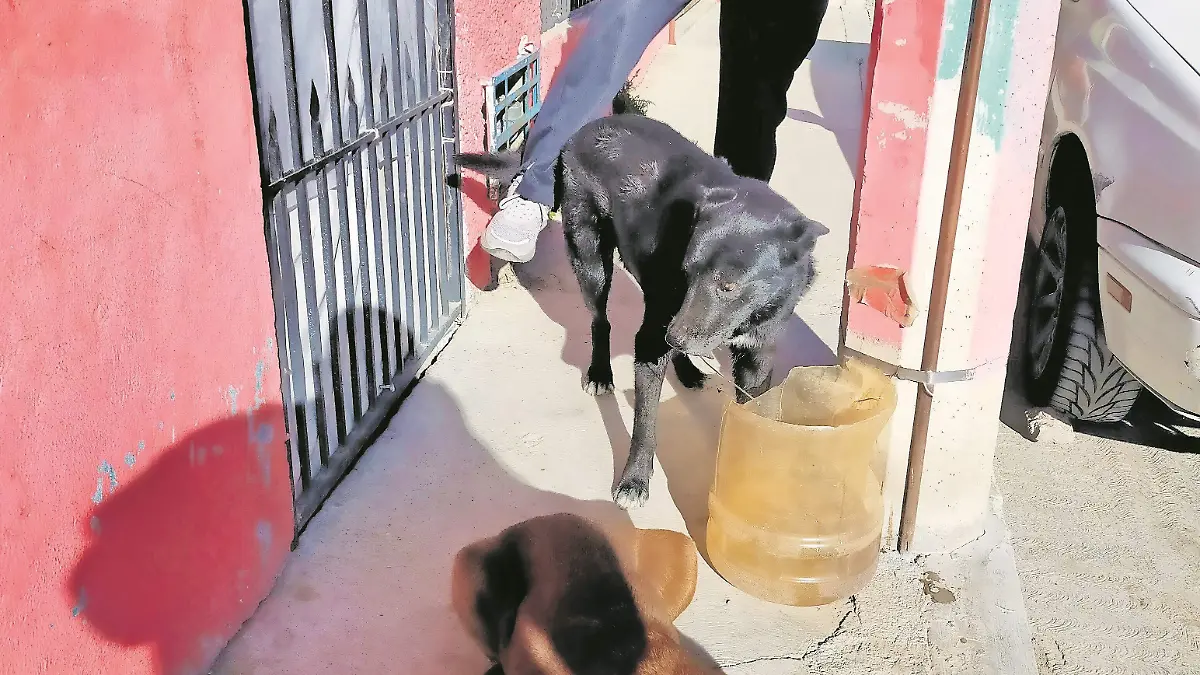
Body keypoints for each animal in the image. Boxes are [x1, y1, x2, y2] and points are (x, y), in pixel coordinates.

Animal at [456, 114, 828, 509]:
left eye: (728, 286)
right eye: (687, 272)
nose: (675, 337)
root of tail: (586, 129)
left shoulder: (756, 359)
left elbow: (753, 416)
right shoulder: (650, 343)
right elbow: (645, 421)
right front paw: (634, 481)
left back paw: (687, 369)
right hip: (592, 261)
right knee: (600, 321)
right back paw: (601, 371)